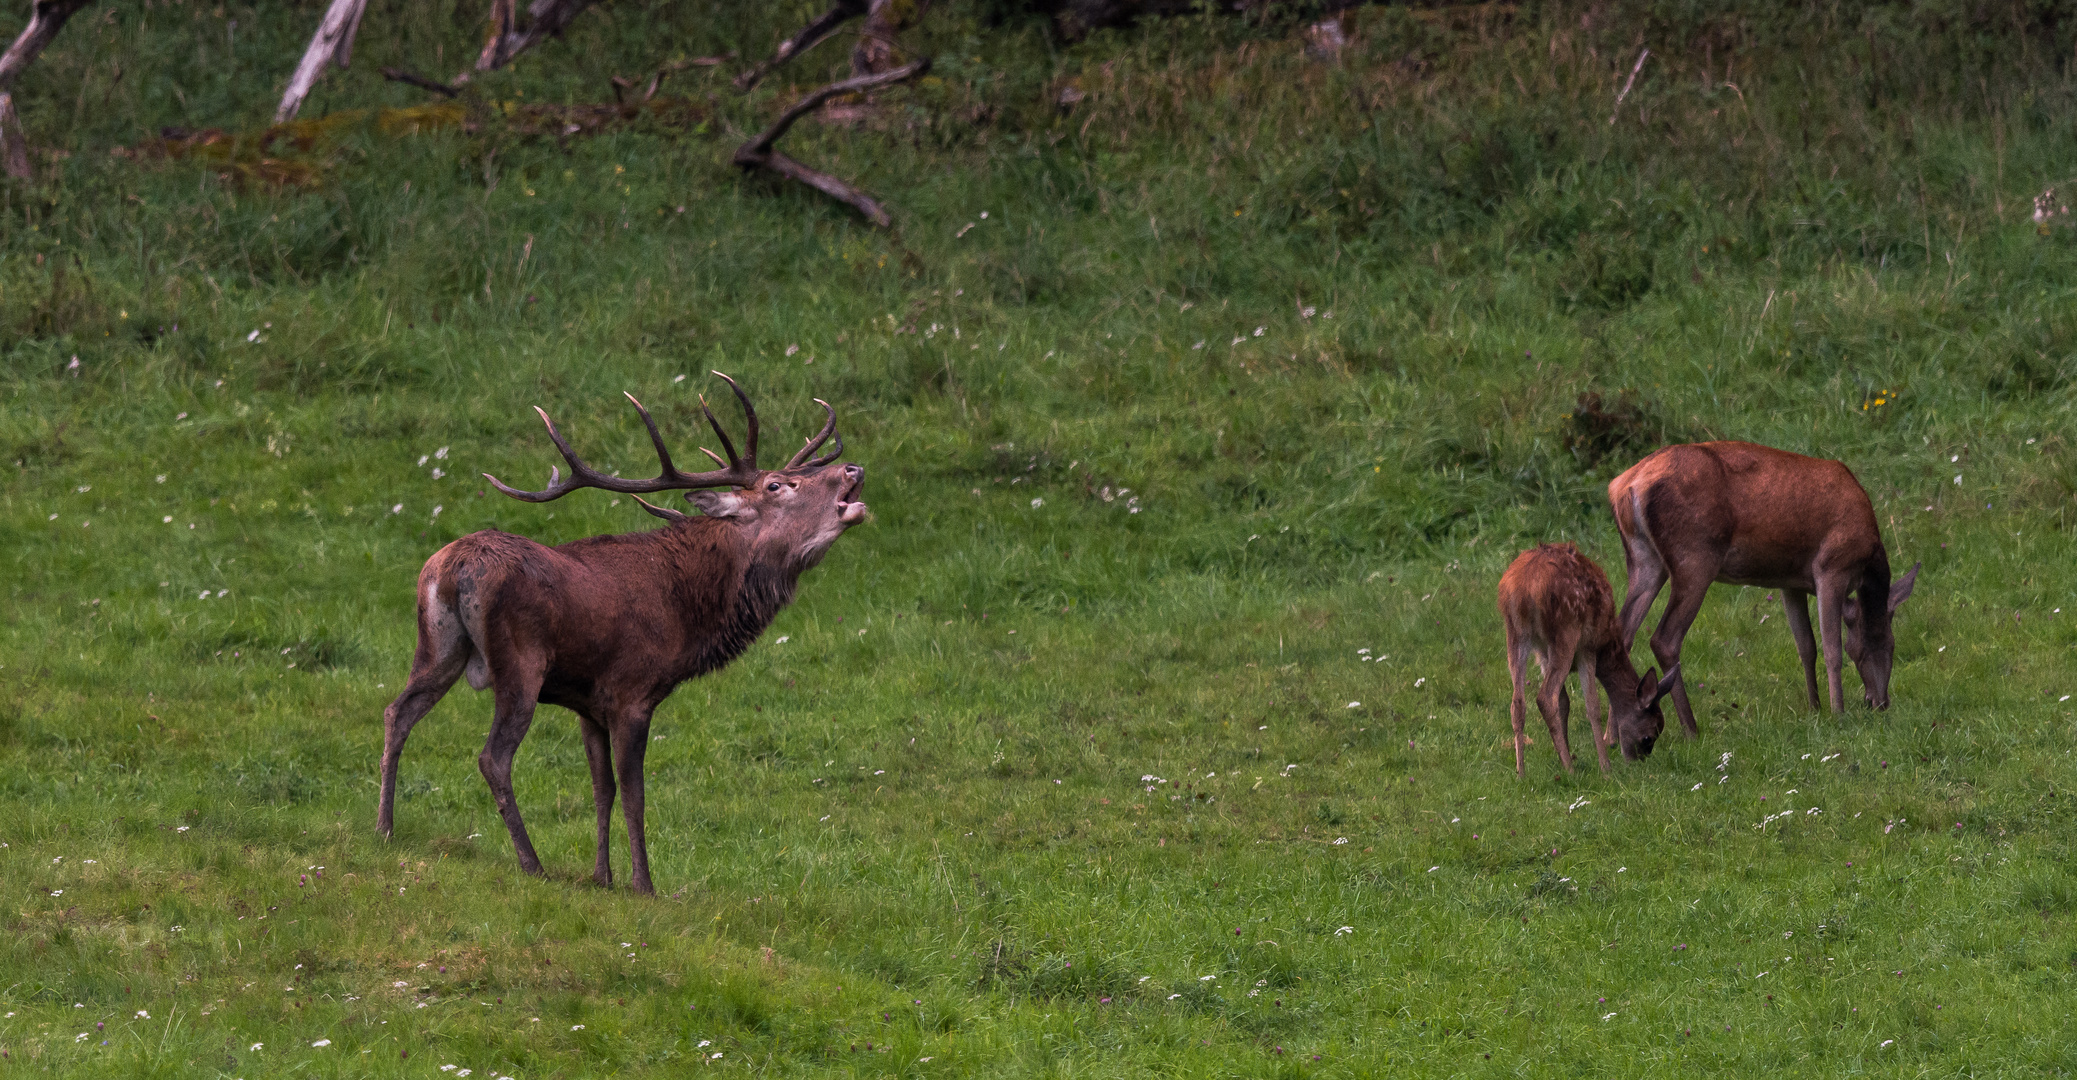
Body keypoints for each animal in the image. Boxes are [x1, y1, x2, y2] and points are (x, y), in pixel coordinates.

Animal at [1503, 544, 1678, 772]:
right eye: (1649, 737)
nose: (1637, 761)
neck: (1608, 644)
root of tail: (1524, 586)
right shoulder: (1588, 647)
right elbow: (1593, 705)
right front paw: (1605, 767)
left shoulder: (1543, 655)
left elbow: (1564, 702)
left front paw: (1563, 757)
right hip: (1566, 631)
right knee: (1545, 698)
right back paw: (1571, 771)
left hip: (1516, 634)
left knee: (1517, 702)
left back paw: (1521, 772)